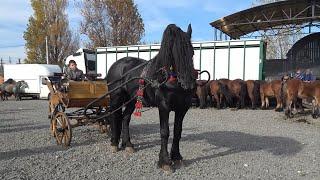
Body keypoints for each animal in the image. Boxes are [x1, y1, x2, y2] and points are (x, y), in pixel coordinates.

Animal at [107, 23, 196, 172]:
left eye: (192, 52)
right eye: (175, 54)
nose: (189, 85)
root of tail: (117, 64)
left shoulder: (182, 108)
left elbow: (177, 131)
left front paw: (177, 157)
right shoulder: (163, 107)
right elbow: (165, 132)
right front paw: (165, 162)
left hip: (132, 100)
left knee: (125, 118)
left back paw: (128, 145)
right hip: (116, 98)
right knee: (114, 117)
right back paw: (114, 143)